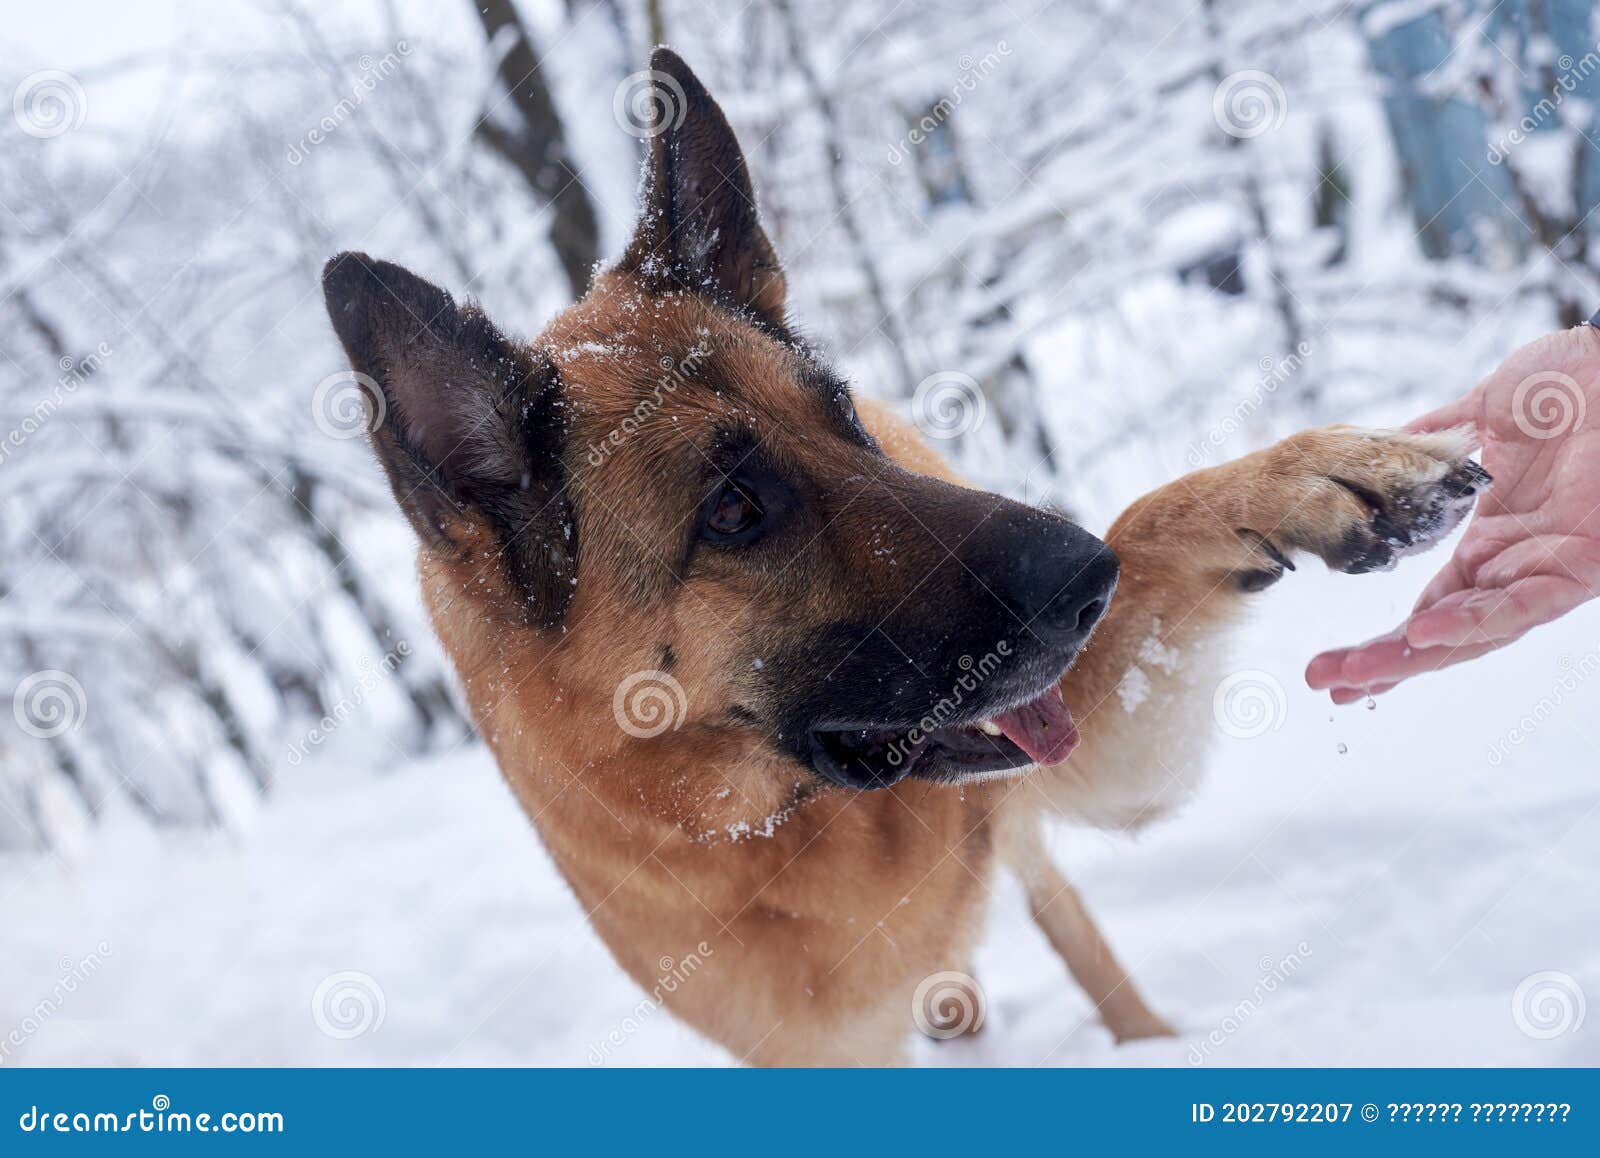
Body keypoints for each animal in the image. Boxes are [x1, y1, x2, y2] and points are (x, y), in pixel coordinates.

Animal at [321, 54, 1484, 1068]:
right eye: (733, 510)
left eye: (844, 418)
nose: (1087, 584)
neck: (778, 826)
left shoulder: (1097, 757)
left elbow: (1152, 511)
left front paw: (1327, 469)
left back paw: (1145, 1040)